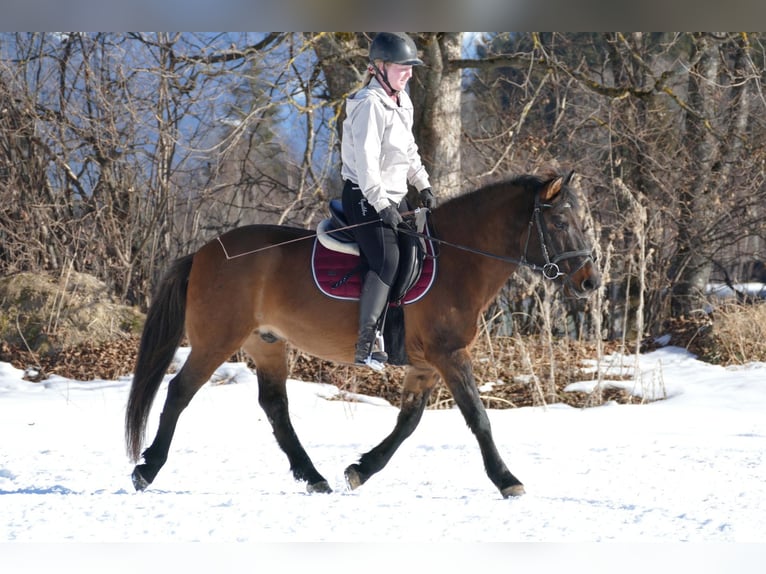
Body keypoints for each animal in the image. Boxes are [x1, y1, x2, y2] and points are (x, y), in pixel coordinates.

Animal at [124, 170, 600, 500]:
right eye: (560, 223)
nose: (590, 282)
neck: (457, 260)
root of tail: (202, 253)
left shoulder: (427, 364)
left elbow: (408, 422)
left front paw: (361, 469)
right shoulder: (449, 356)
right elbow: (478, 418)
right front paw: (508, 480)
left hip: (267, 343)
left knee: (275, 408)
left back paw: (314, 477)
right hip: (216, 340)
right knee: (179, 391)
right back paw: (146, 469)